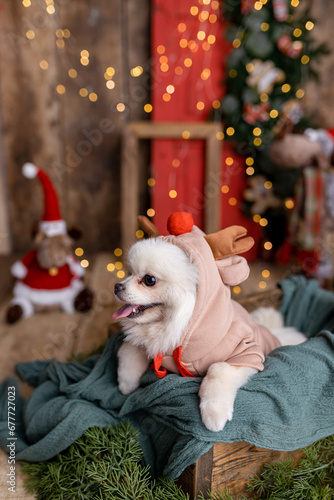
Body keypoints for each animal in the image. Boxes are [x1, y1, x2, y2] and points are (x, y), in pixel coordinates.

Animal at [113, 216, 306, 434]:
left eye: (149, 280)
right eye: (129, 273)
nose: (117, 286)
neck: (180, 327)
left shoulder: (248, 354)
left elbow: (217, 369)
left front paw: (214, 413)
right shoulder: (153, 341)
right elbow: (128, 348)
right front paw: (126, 382)